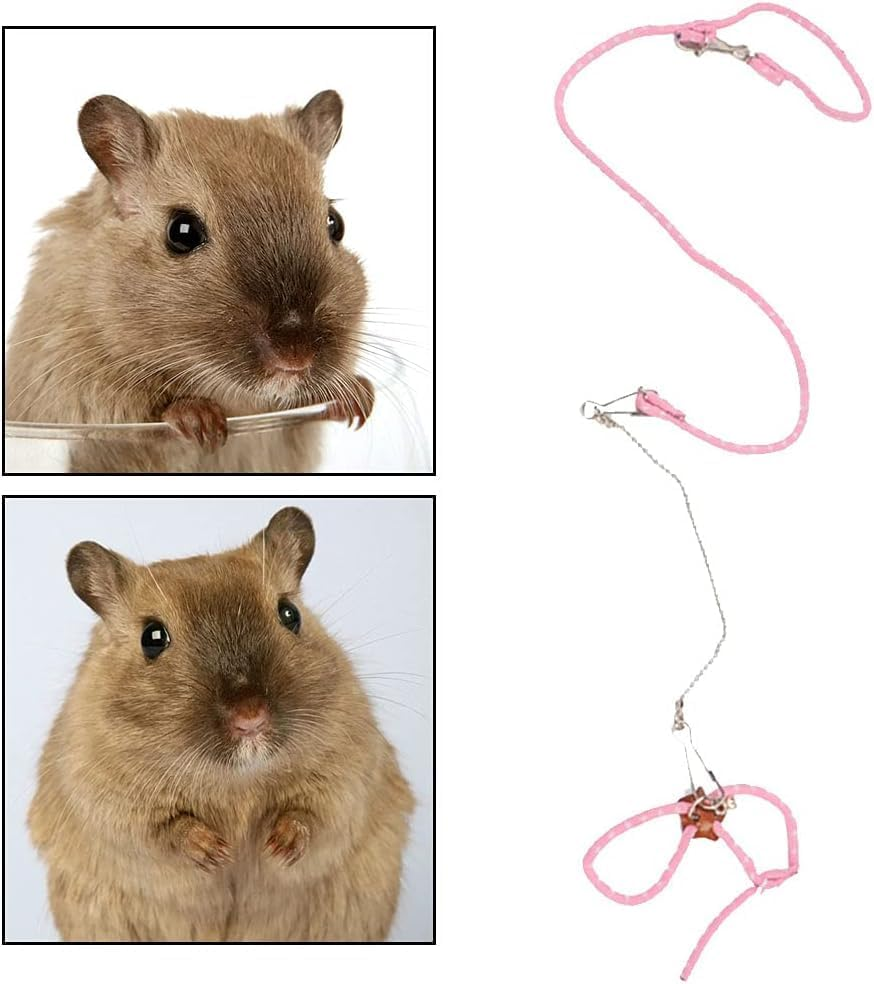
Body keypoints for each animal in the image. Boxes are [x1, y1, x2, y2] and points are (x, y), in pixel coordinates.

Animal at [5, 93, 375, 473]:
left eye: (335, 223)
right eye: (182, 232)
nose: (295, 359)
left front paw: (358, 397)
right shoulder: (74, 387)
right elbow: (144, 410)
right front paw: (203, 422)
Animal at [28, 507, 414, 941]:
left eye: (290, 614)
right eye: (152, 638)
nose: (251, 717)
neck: (237, 778)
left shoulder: (350, 767)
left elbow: (313, 814)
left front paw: (275, 845)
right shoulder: (105, 798)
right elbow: (161, 830)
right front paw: (218, 853)